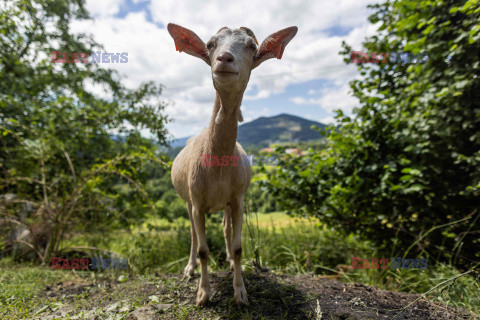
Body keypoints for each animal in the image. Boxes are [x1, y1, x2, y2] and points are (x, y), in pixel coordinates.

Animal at [168, 23, 296, 308]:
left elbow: (238, 247)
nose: (224, 59)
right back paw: (189, 268)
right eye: (210, 44)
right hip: (187, 199)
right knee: (192, 234)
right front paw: (203, 295)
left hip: (227, 202)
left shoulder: (238, 198)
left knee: (225, 227)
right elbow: (203, 249)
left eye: (251, 46)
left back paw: (226, 259)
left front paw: (241, 293)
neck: (217, 164)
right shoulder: (197, 200)